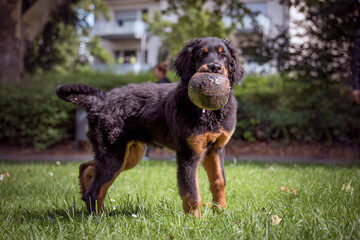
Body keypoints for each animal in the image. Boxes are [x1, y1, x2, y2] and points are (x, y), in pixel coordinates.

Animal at [56, 36, 245, 217]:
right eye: (201, 55)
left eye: (223, 55)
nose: (214, 67)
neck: (209, 112)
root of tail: (99, 102)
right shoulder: (189, 153)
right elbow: (192, 191)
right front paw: (194, 221)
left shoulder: (216, 149)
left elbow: (219, 181)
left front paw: (221, 213)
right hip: (113, 153)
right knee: (95, 190)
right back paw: (99, 218)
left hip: (129, 154)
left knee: (87, 168)